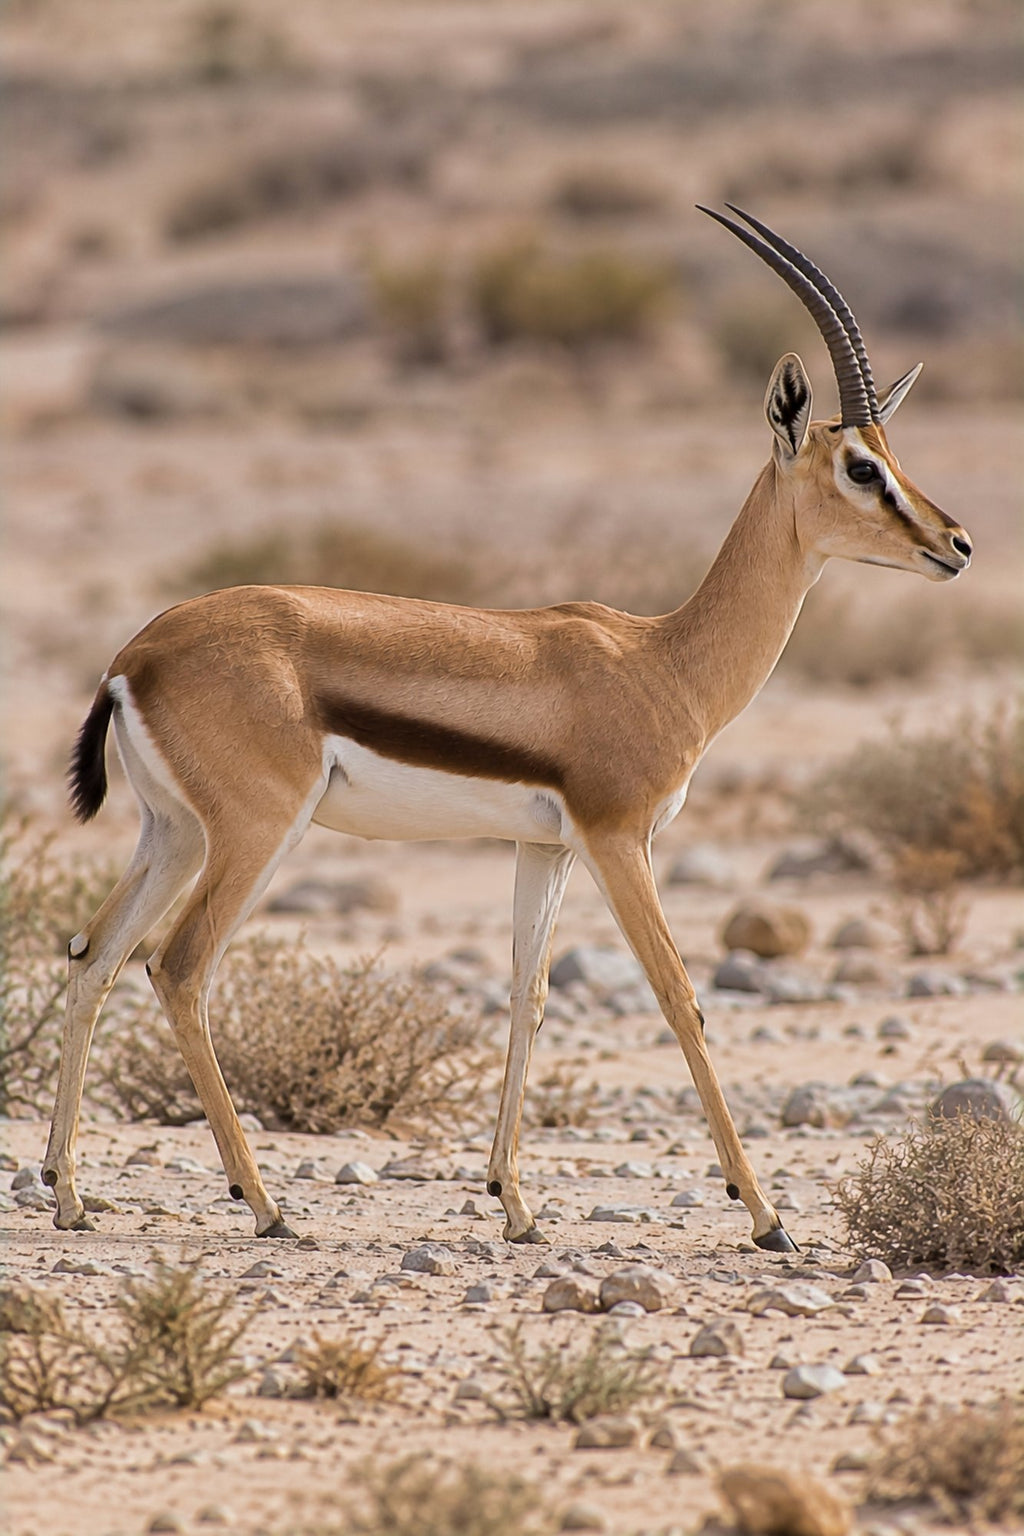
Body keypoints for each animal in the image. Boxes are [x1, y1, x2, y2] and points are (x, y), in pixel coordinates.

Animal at [44, 207, 972, 1251]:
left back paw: (70, 1193)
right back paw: (267, 1204)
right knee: (178, 967)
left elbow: (528, 995)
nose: (957, 544)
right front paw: (766, 1214)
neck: (664, 661)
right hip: (252, 834)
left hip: (171, 833)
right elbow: (679, 996)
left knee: (94, 955)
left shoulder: (548, 849)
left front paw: (516, 1205)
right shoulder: (620, 840)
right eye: (862, 466)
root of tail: (136, 654)